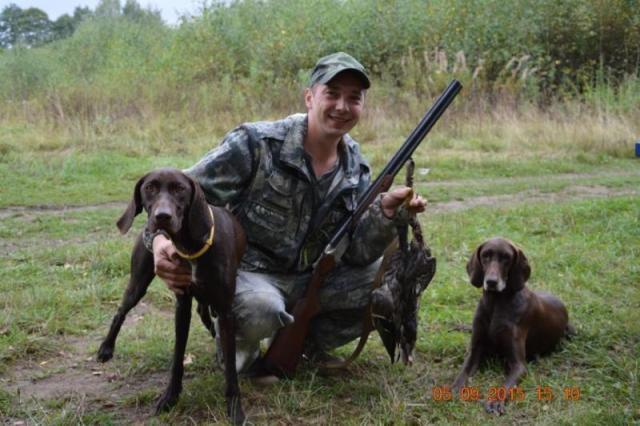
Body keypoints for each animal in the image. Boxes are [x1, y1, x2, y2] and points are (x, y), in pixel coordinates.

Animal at [97, 168, 246, 424]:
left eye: (180, 189)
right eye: (149, 188)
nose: (162, 216)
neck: (190, 246)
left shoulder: (226, 311)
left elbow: (231, 370)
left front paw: (235, 409)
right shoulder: (182, 307)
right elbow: (177, 357)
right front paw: (170, 397)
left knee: (205, 313)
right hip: (138, 283)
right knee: (121, 311)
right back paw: (106, 348)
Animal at [451, 237, 573, 415]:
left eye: (506, 258)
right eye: (486, 255)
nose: (491, 282)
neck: (496, 302)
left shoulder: (518, 365)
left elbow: (506, 385)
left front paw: (495, 401)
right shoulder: (474, 351)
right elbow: (463, 372)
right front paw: (454, 388)